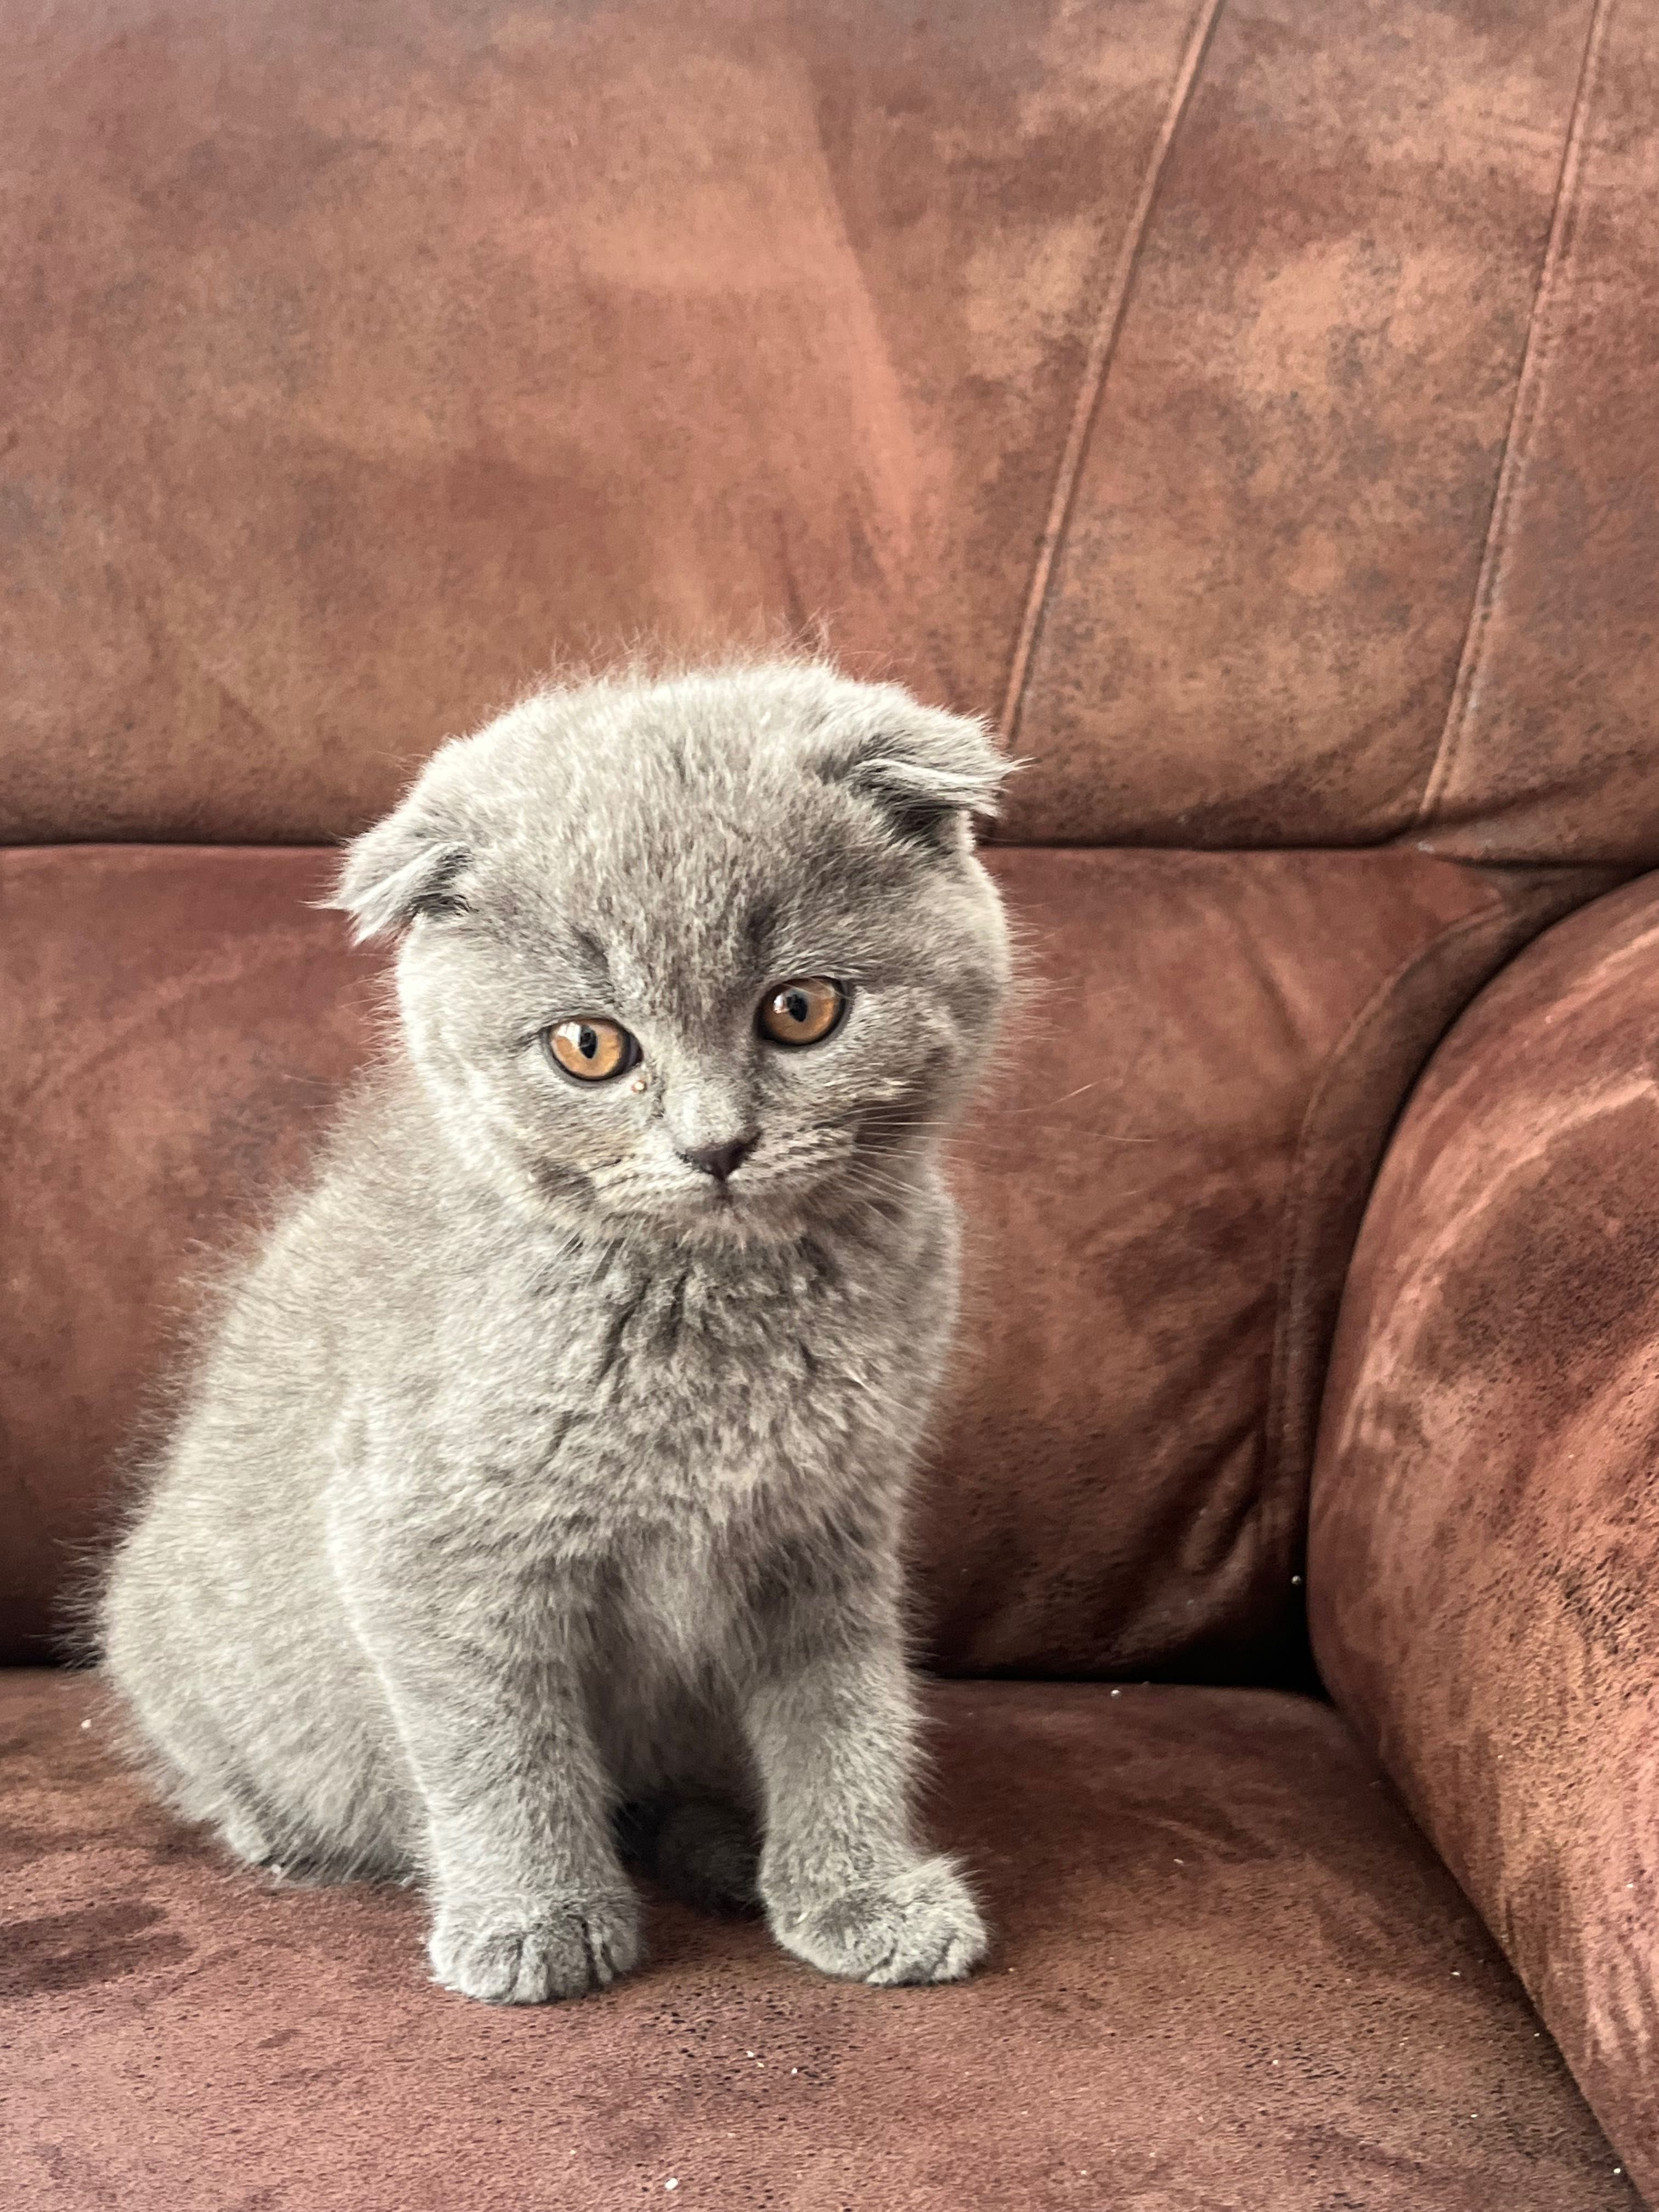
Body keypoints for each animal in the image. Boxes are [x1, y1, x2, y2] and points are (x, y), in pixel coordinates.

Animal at [104, 654, 1022, 2008]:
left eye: (802, 1009)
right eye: (590, 1047)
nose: (714, 1145)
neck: (716, 1304)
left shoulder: (830, 1519)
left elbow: (844, 1706)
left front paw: (858, 1888)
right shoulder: (430, 1539)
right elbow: (498, 1740)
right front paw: (534, 1917)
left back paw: (720, 1843)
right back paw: (283, 1835)